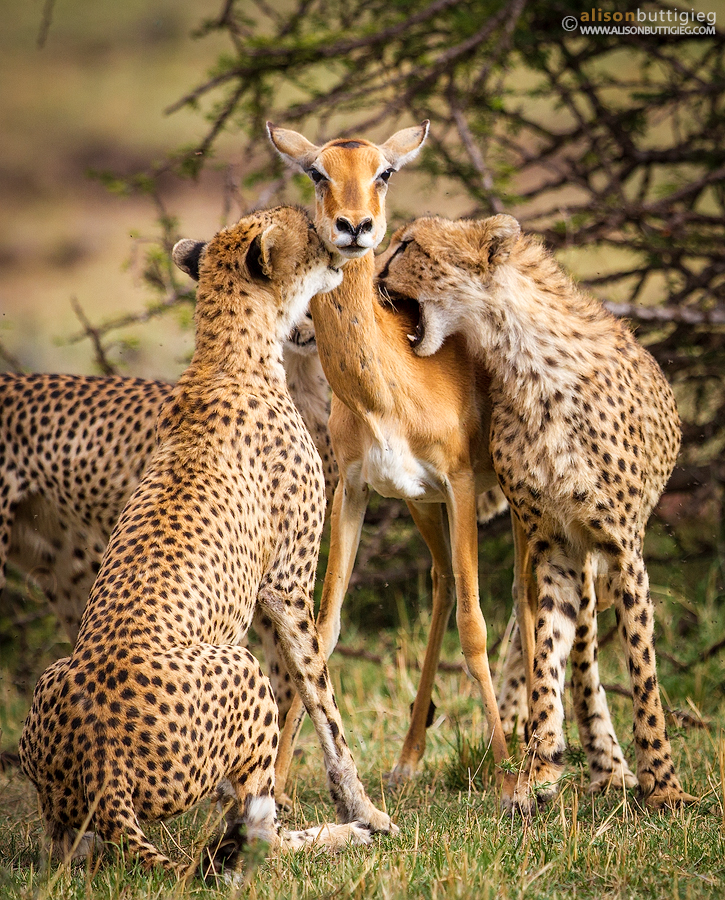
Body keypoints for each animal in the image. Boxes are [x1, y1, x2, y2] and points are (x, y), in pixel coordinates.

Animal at [18, 205, 393, 879]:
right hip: (240, 668)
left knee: (69, 852)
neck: (227, 355)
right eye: (309, 230)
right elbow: (321, 696)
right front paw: (367, 811)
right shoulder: (287, 584)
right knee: (254, 840)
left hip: (55, 702)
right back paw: (338, 837)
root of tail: (104, 765)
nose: (345, 238)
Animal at [377, 213, 694, 814]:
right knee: (580, 651)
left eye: (409, 244)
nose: (374, 273)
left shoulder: (623, 548)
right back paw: (597, 762)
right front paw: (538, 765)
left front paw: (663, 786)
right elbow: (547, 653)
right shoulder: (556, 545)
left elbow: (642, 669)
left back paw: (612, 766)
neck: (525, 362)